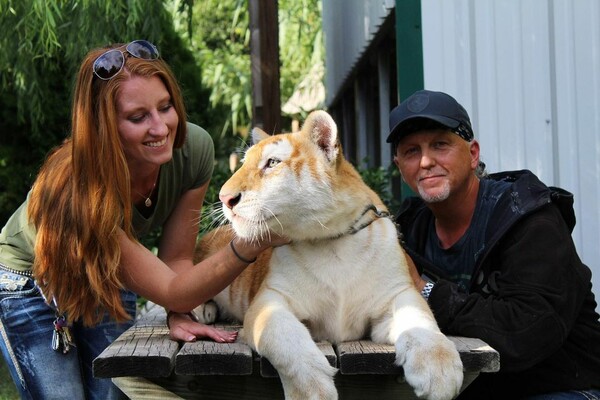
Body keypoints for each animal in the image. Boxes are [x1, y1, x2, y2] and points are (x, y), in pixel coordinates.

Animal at [195, 110, 462, 400]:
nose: (224, 198)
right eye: (244, 164)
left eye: (272, 163)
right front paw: (313, 391)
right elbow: (285, 336)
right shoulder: (270, 300)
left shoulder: (396, 294)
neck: (331, 241)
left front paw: (439, 372)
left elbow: (420, 320)